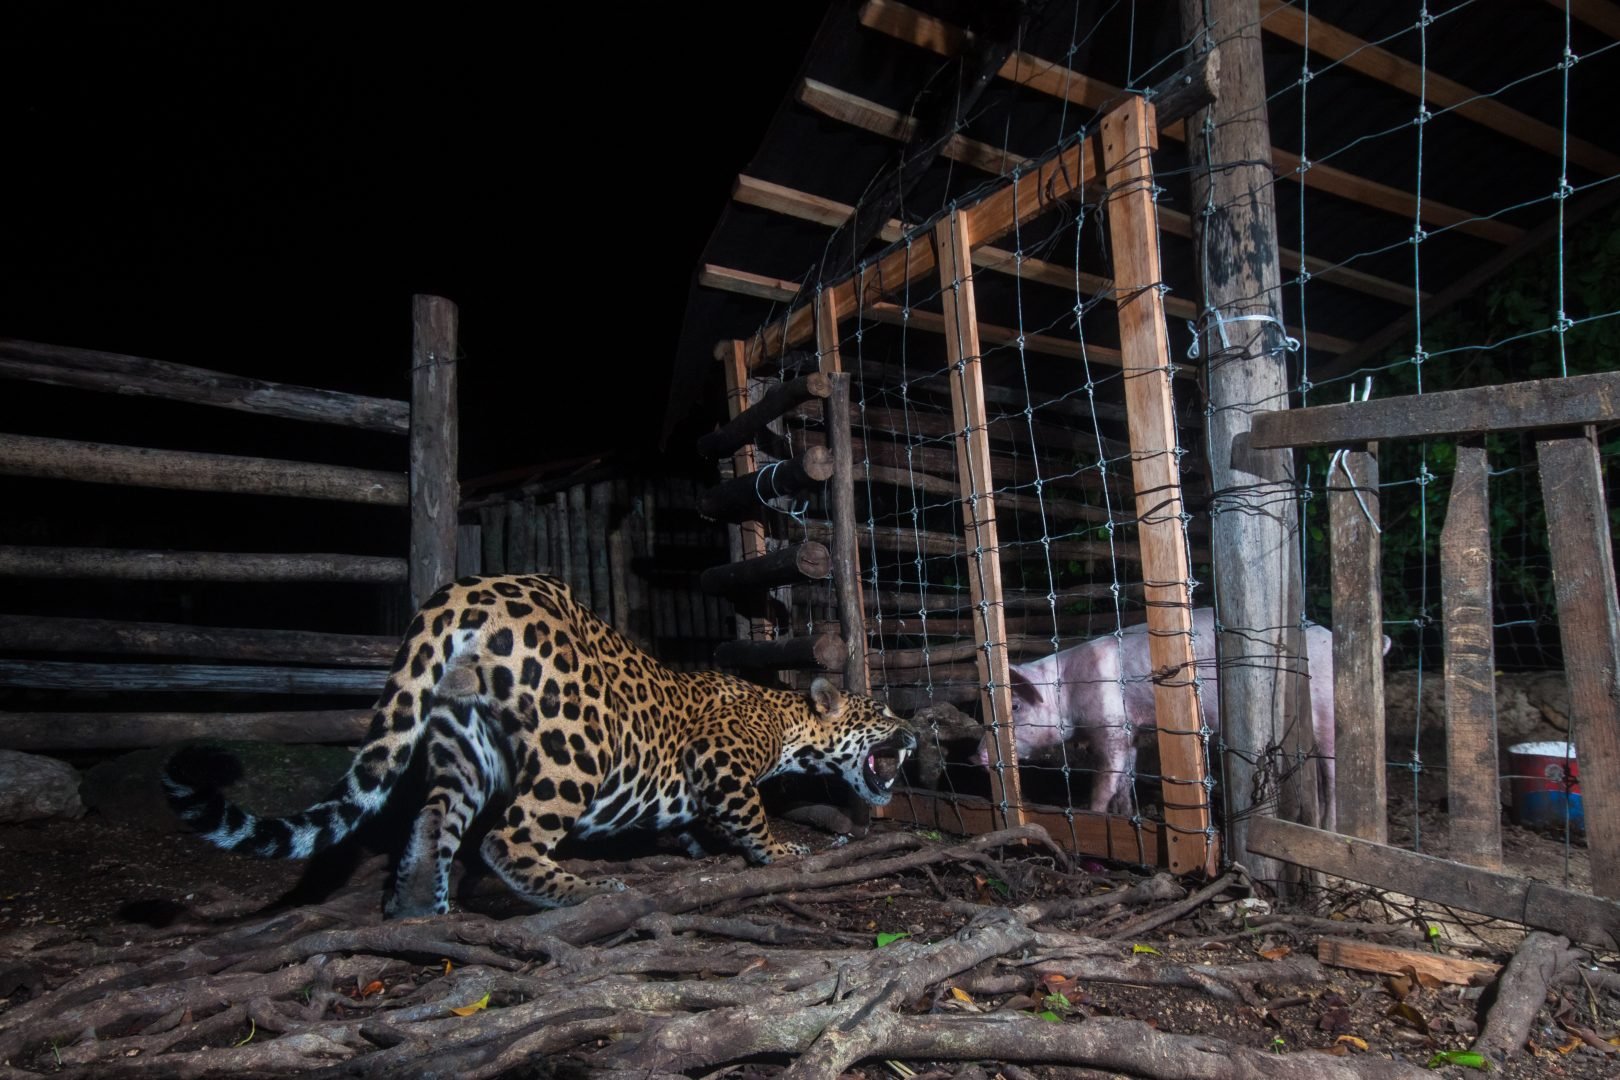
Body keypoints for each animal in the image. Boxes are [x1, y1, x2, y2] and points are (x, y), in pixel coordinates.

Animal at [978, 608, 1386, 829]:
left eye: (1016, 707)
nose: (975, 755)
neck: (1069, 690)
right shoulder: (1130, 731)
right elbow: (1125, 779)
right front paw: (1128, 815)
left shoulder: (1110, 726)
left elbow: (1105, 779)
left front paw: (1092, 816)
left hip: (1326, 710)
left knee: (1332, 771)